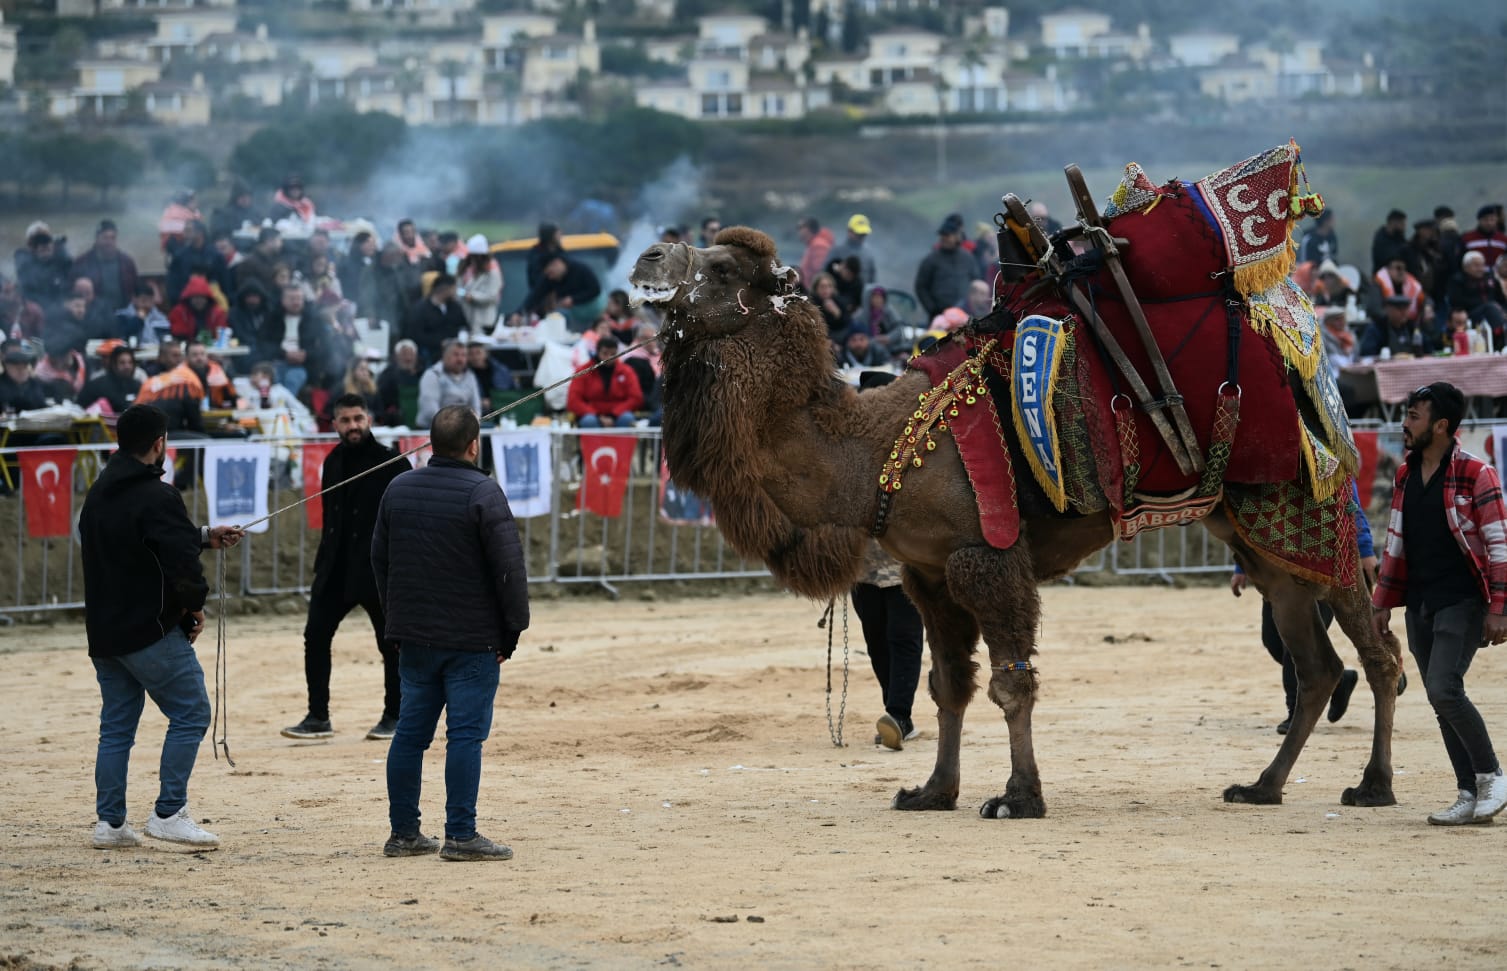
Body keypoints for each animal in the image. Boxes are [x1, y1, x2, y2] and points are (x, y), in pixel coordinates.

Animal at [632, 143, 1398, 814]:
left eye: (723, 268)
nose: (647, 255)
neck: (876, 450)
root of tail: (1293, 332)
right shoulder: (929, 574)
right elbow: (948, 687)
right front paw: (931, 791)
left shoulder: (987, 555)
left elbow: (1010, 684)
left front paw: (1018, 797)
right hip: (1254, 532)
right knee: (1315, 661)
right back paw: (1263, 785)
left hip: (1308, 498)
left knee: (1376, 647)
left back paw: (1372, 785)